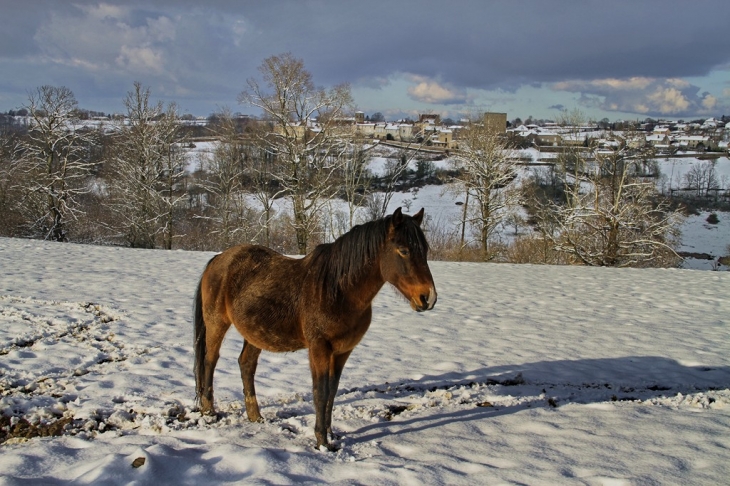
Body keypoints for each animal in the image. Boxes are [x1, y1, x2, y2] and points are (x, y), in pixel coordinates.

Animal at [191, 207, 436, 450]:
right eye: (403, 250)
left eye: (425, 249)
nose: (428, 298)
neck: (339, 291)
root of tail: (219, 258)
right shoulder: (319, 348)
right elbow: (320, 392)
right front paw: (321, 441)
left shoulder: (342, 351)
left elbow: (332, 391)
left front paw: (331, 434)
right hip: (217, 323)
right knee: (210, 361)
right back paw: (209, 412)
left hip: (255, 333)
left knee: (246, 365)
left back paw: (255, 417)